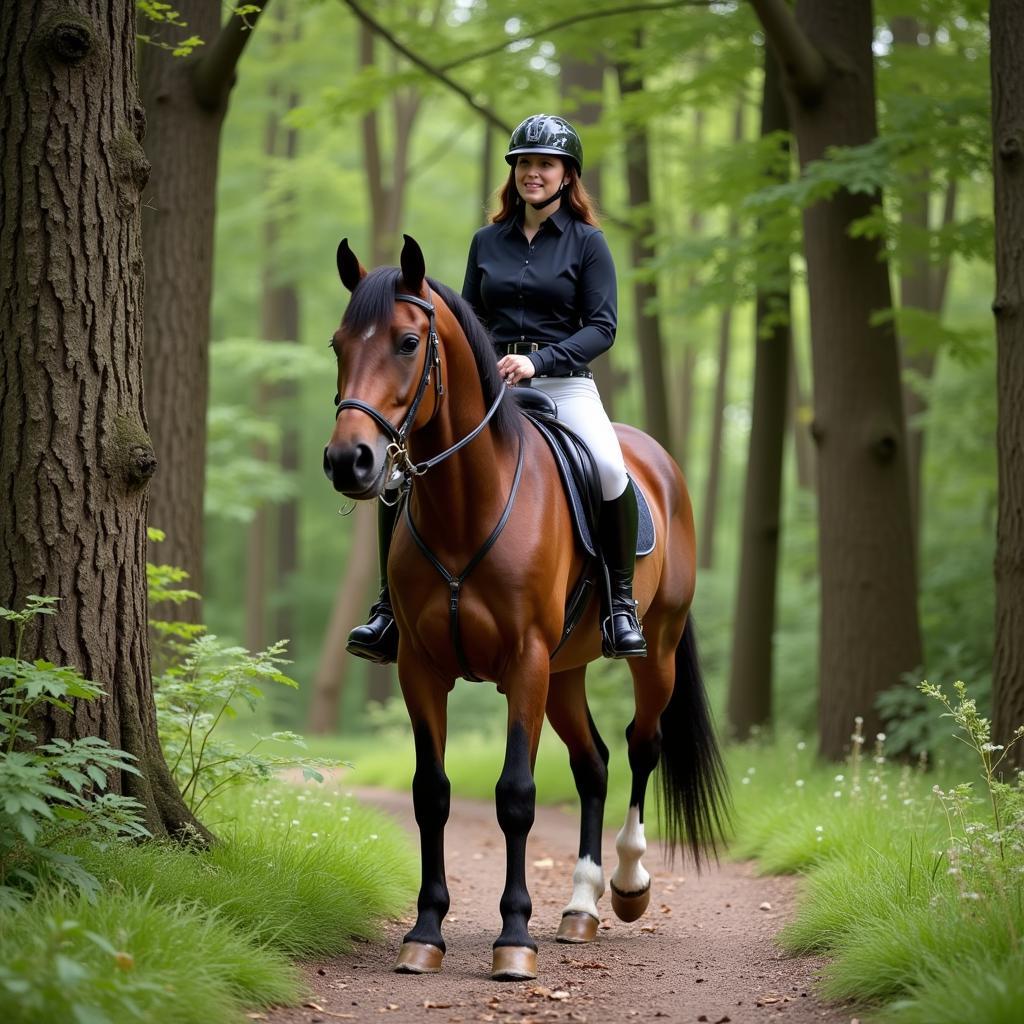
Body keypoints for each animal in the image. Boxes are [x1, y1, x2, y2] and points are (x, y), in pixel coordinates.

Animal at [319, 235, 729, 978]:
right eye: (339, 343)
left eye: (406, 341)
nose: (349, 461)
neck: (466, 505)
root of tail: (660, 463)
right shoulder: (421, 669)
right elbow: (431, 793)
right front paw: (426, 933)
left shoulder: (524, 664)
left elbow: (516, 795)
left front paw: (514, 939)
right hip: (565, 673)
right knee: (594, 762)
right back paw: (581, 908)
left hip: (649, 649)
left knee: (641, 744)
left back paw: (627, 884)